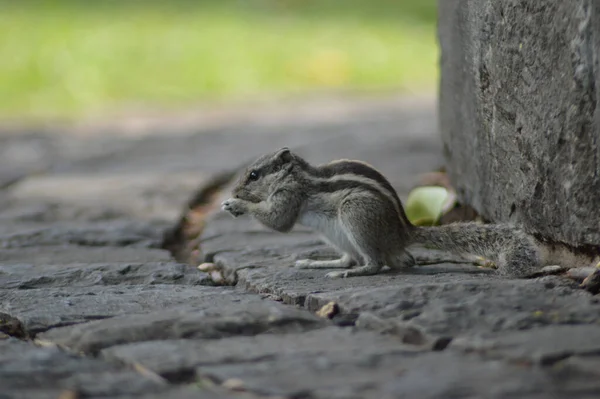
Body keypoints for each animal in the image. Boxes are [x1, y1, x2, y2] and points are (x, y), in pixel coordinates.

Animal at [221, 146, 600, 278]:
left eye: (253, 175)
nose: (235, 190)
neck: (296, 175)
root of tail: (404, 231)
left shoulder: (290, 196)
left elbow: (278, 222)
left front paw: (238, 205)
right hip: (340, 235)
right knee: (364, 258)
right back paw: (320, 263)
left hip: (355, 216)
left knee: (376, 263)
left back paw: (350, 273)